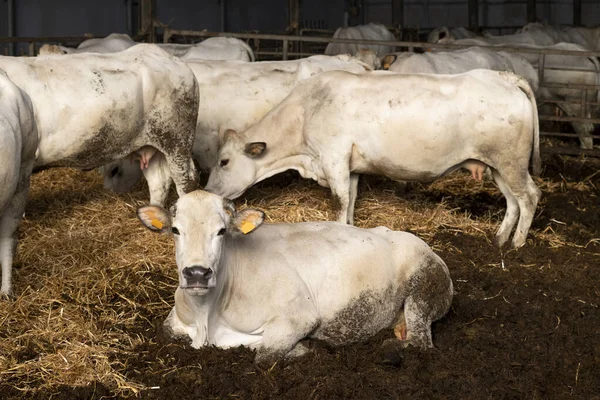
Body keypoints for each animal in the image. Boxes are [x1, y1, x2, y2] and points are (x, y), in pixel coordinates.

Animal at [137, 191, 454, 366]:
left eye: (221, 231)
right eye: (175, 230)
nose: (196, 273)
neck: (207, 317)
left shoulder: (298, 315)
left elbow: (265, 356)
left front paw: (308, 347)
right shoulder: (177, 319)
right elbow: (166, 330)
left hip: (424, 289)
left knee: (421, 343)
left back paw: (390, 350)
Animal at [204, 69, 540, 250]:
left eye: (224, 161)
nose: (207, 191)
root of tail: (503, 76)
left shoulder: (334, 158)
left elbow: (339, 202)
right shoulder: (351, 167)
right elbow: (351, 200)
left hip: (510, 161)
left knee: (529, 197)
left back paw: (518, 244)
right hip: (498, 165)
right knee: (513, 201)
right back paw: (499, 239)